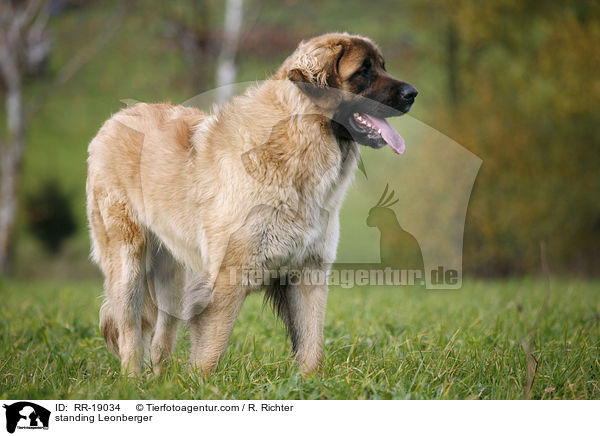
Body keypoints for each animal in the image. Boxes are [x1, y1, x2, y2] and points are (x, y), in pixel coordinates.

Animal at [86, 33, 418, 374]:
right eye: (363, 71)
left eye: (382, 66)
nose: (413, 94)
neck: (294, 146)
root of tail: (115, 119)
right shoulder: (226, 279)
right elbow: (210, 351)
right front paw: (200, 384)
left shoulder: (308, 272)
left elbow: (312, 346)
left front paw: (310, 382)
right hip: (128, 262)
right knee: (130, 332)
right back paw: (134, 379)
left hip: (173, 272)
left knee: (162, 336)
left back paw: (161, 381)